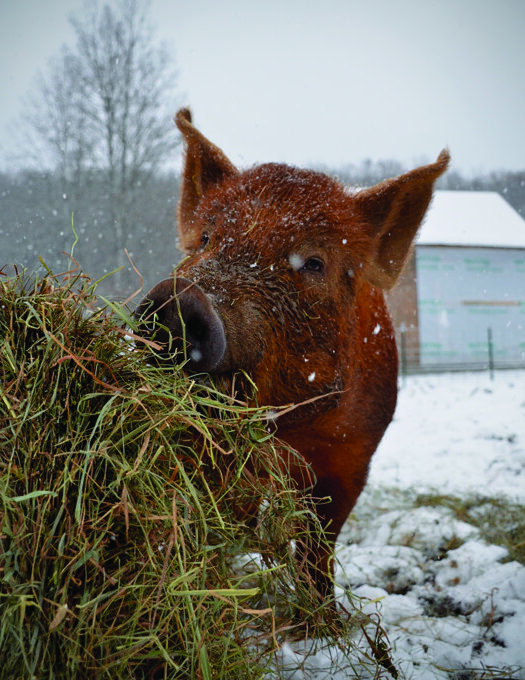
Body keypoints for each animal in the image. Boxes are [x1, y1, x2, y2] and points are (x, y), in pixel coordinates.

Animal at [135, 108, 449, 598]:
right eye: (205, 239)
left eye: (314, 263)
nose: (179, 300)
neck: (288, 432)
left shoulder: (354, 460)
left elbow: (320, 544)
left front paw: (323, 613)